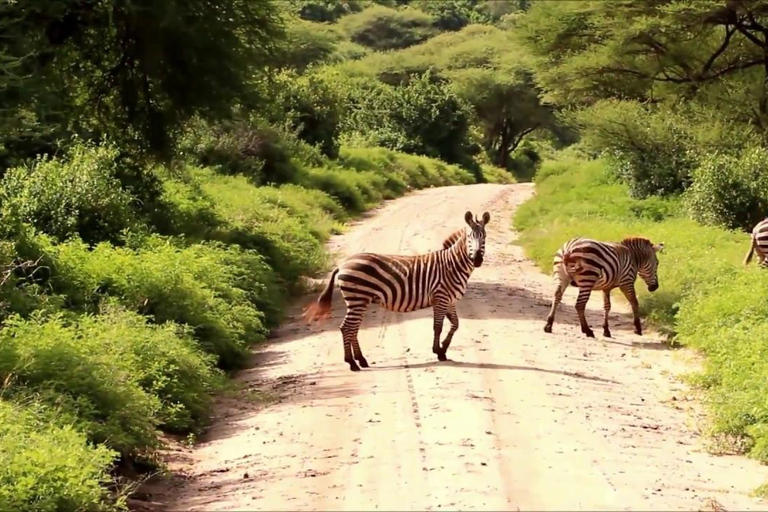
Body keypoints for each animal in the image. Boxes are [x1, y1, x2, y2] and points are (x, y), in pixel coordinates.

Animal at [302, 210, 488, 370]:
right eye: (469, 237)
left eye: (484, 237)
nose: (477, 260)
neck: (453, 265)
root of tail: (342, 265)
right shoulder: (440, 297)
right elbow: (438, 326)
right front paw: (439, 352)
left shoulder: (449, 300)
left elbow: (455, 324)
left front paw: (442, 348)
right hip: (358, 299)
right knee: (347, 327)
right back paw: (352, 363)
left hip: (359, 301)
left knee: (352, 328)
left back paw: (361, 360)